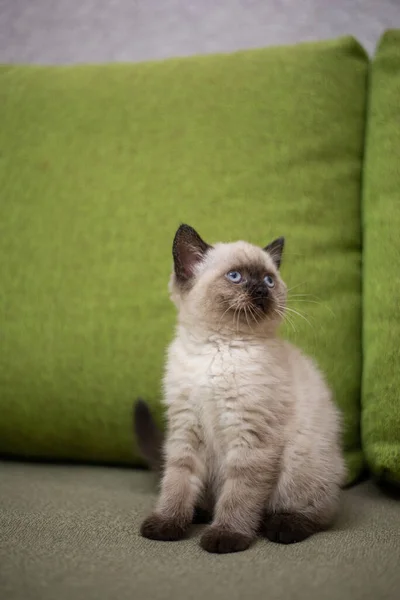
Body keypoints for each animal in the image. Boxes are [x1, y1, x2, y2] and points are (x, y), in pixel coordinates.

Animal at [136, 224, 346, 552]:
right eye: (235, 276)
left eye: (269, 280)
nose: (261, 291)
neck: (218, 347)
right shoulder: (185, 429)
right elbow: (177, 483)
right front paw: (167, 524)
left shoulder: (251, 436)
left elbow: (239, 495)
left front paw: (226, 537)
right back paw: (198, 512)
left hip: (301, 462)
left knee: (317, 514)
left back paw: (281, 527)